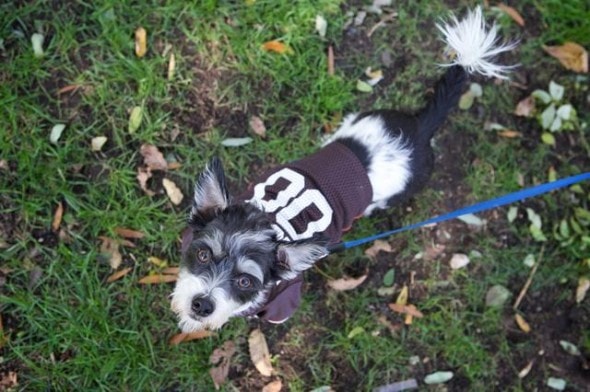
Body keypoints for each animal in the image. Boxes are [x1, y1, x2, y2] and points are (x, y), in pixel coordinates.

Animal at [169, 6, 516, 330]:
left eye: (244, 281)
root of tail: (420, 126)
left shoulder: (284, 300)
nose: (202, 305)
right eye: (202, 254)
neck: (270, 219)